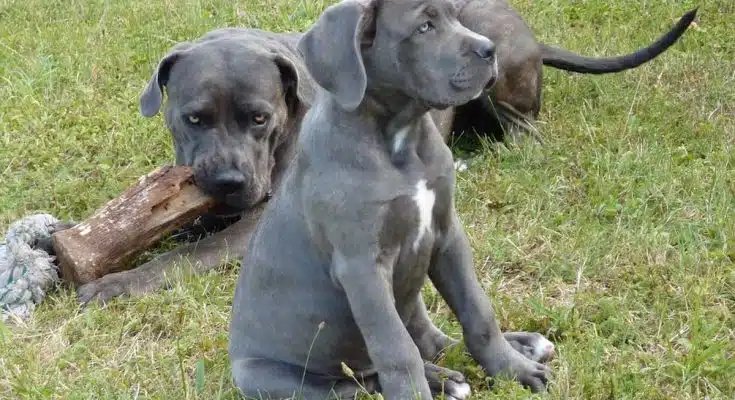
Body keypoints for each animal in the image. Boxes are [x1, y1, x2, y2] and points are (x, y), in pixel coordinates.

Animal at [231, 1, 552, 398]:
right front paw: (417, 391)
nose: (490, 49)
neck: (401, 139)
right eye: (424, 27)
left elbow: (478, 311)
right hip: (272, 377)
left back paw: (518, 347)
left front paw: (512, 368)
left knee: (427, 341)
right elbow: (396, 350)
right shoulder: (362, 267)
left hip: (411, 297)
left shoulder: (447, 234)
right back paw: (443, 379)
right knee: (360, 382)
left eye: (455, 15)